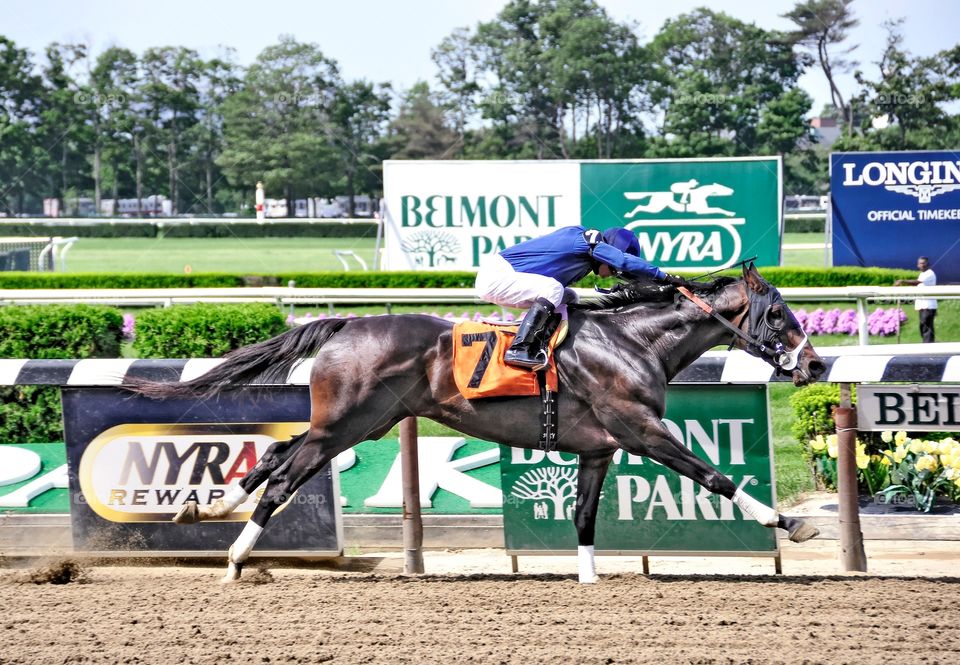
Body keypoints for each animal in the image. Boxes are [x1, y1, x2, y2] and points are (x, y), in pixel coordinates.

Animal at [127, 264, 824, 580]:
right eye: (778, 313)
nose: (815, 365)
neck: (633, 342)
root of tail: (347, 322)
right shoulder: (640, 429)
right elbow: (715, 477)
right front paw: (791, 522)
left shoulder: (598, 449)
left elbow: (584, 515)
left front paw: (588, 575)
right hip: (342, 425)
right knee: (282, 476)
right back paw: (236, 556)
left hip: (362, 424)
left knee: (275, 458)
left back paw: (202, 512)